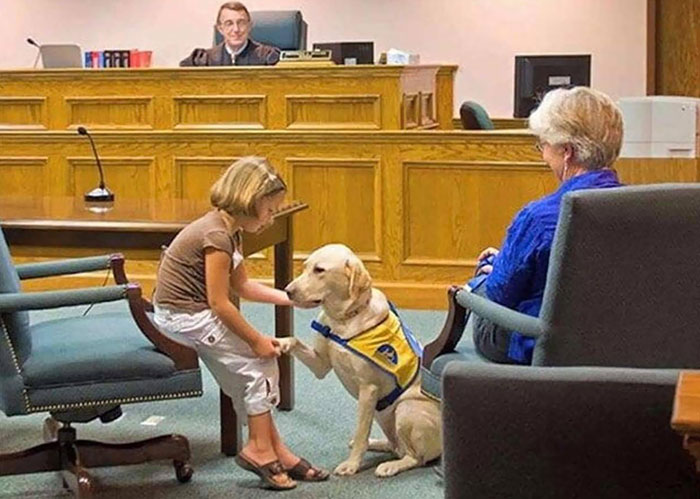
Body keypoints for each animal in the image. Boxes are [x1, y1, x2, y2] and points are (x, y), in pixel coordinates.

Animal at [278, 244, 438, 478]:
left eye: (319, 270)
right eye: (305, 266)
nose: (287, 291)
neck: (343, 320)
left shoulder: (368, 389)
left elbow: (361, 430)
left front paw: (352, 464)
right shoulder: (320, 365)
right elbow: (294, 340)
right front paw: (280, 343)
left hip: (406, 409)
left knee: (414, 457)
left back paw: (391, 466)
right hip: (382, 414)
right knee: (394, 445)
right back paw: (377, 443)